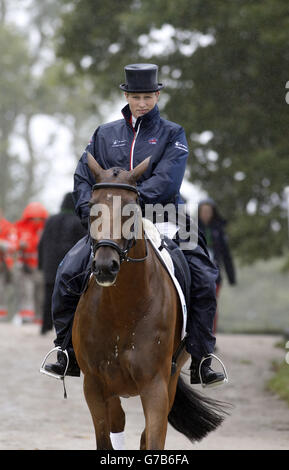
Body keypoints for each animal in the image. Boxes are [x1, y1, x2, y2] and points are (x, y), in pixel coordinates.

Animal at [72, 152, 225, 450]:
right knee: (118, 420)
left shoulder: (155, 385)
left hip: (171, 377)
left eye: (131, 209)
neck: (120, 309)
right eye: (93, 207)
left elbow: (153, 438)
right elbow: (105, 438)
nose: (105, 266)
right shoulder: (94, 385)